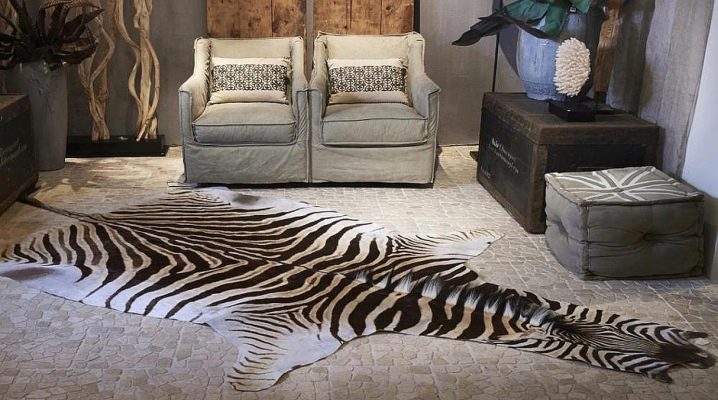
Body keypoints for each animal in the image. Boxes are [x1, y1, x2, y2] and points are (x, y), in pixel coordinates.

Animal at [0, 188, 714, 391]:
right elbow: (251, 378)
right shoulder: (283, 332)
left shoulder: (430, 252)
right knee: (15, 258)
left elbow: (474, 235)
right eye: (590, 354)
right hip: (45, 257)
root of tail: (105, 213)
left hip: (209, 199)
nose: (693, 361)